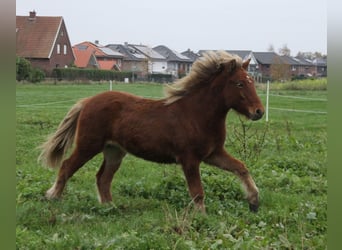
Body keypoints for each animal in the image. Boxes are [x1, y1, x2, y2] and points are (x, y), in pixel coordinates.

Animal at [39, 50, 264, 213]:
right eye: (239, 83)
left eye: (252, 81)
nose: (259, 112)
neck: (197, 114)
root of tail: (87, 102)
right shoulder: (189, 159)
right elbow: (197, 192)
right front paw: (201, 217)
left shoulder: (213, 154)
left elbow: (241, 167)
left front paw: (254, 201)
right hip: (88, 145)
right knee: (67, 166)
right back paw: (53, 197)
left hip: (114, 151)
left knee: (102, 178)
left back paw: (110, 207)